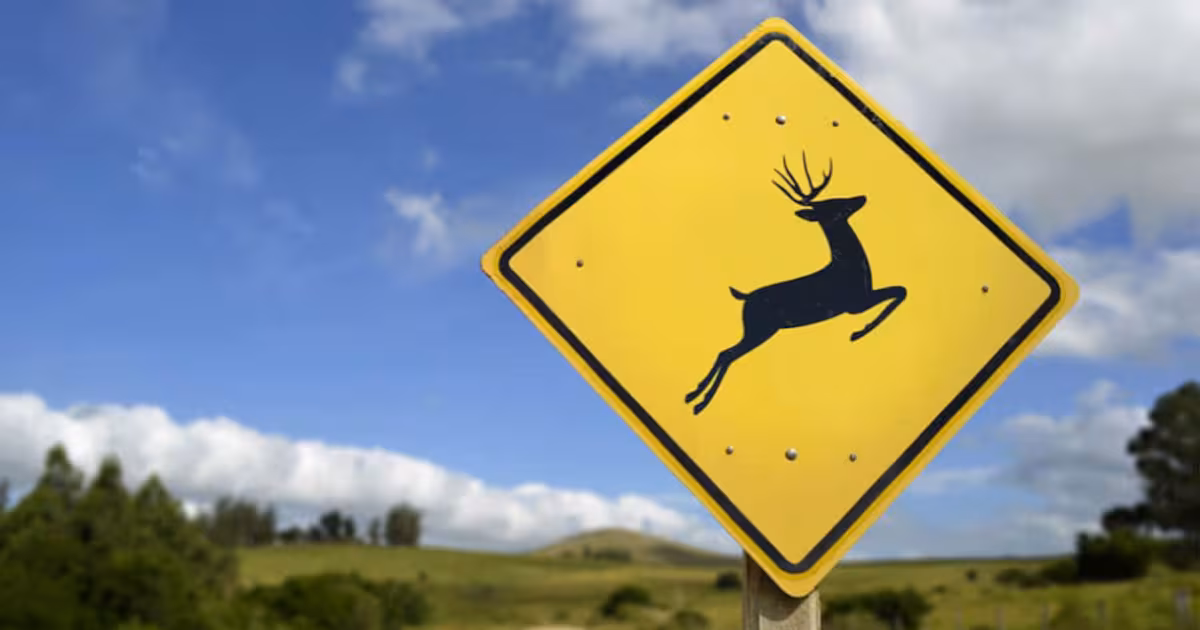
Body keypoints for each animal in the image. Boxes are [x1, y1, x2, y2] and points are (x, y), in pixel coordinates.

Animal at [684, 151, 907, 415]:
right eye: (834, 204)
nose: (861, 196)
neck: (850, 268)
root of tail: (745, 297)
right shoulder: (855, 303)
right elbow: (900, 292)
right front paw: (858, 333)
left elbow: (899, 291)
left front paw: (859, 332)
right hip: (760, 328)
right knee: (727, 354)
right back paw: (700, 403)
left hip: (756, 329)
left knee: (724, 353)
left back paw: (692, 395)